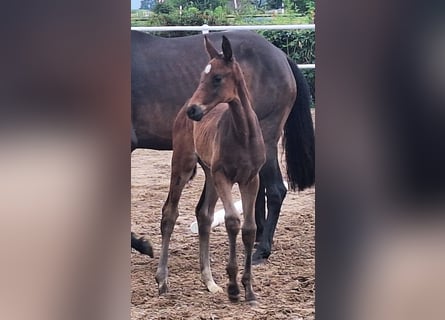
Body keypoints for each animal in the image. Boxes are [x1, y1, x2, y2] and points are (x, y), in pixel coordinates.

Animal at [130, 29, 314, 264]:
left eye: (217, 78)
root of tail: (281, 56)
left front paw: (143, 245)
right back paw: (257, 236)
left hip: (267, 139)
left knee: (275, 190)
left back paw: (262, 249)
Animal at [156, 35, 266, 304]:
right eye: (200, 77)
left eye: (217, 78)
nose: (193, 110)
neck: (243, 135)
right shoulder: (224, 176)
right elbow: (232, 221)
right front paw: (234, 287)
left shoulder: (251, 179)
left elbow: (249, 228)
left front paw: (249, 290)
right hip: (184, 165)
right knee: (169, 213)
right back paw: (162, 280)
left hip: (209, 173)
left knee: (204, 214)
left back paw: (209, 281)